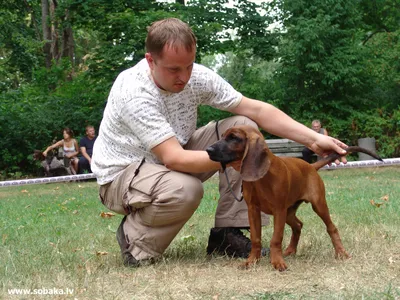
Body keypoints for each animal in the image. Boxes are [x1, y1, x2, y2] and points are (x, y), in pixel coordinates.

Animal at [208, 125, 382, 270]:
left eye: (233, 137)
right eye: (222, 136)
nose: (208, 150)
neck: (262, 179)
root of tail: (310, 166)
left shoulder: (278, 209)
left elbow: (276, 238)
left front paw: (277, 262)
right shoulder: (253, 210)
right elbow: (256, 239)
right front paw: (251, 261)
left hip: (317, 204)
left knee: (331, 227)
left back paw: (341, 253)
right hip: (289, 211)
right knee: (298, 225)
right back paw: (291, 250)